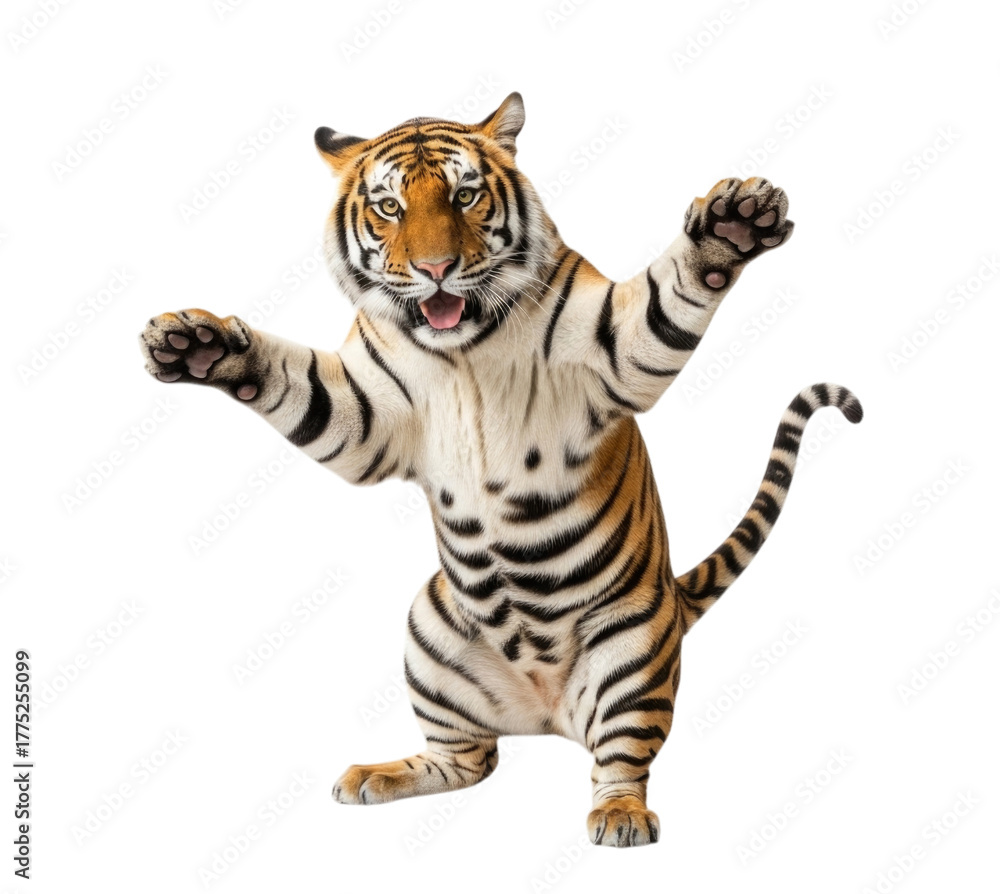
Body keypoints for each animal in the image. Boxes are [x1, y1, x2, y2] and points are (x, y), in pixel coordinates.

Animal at [139, 92, 862, 847]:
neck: (461, 349)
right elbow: (291, 380)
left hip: (630, 653)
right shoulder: (364, 417)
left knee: (619, 759)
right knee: (470, 761)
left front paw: (732, 223)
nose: (435, 269)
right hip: (430, 633)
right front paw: (197, 344)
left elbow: (671, 294)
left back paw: (620, 817)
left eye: (465, 195)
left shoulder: (616, 354)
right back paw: (376, 776)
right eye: (390, 207)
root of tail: (545, 713)